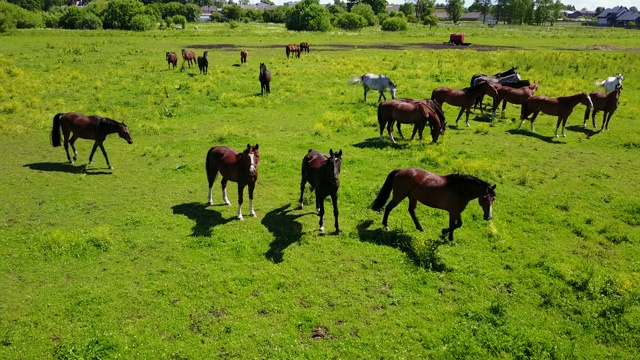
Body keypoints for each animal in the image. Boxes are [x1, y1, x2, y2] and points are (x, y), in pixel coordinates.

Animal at [370, 169, 500, 242]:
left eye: (493, 198)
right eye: (484, 197)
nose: (489, 217)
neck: (460, 189)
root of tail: (400, 170)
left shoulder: (456, 211)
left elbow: (457, 224)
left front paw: (450, 238)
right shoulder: (453, 211)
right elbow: (454, 225)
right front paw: (445, 232)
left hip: (412, 197)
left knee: (411, 210)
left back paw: (420, 228)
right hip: (399, 196)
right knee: (388, 207)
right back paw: (385, 226)